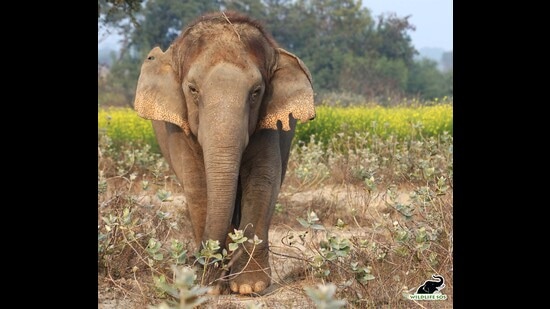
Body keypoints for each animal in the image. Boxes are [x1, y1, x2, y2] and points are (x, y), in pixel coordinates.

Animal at [133, 11, 320, 294]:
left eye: (256, 92)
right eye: (193, 89)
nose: (204, 270)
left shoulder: (268, 123)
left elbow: (262, 179)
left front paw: (248, 286)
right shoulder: (178, 128)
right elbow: (197, 183)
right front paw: (208, 285)